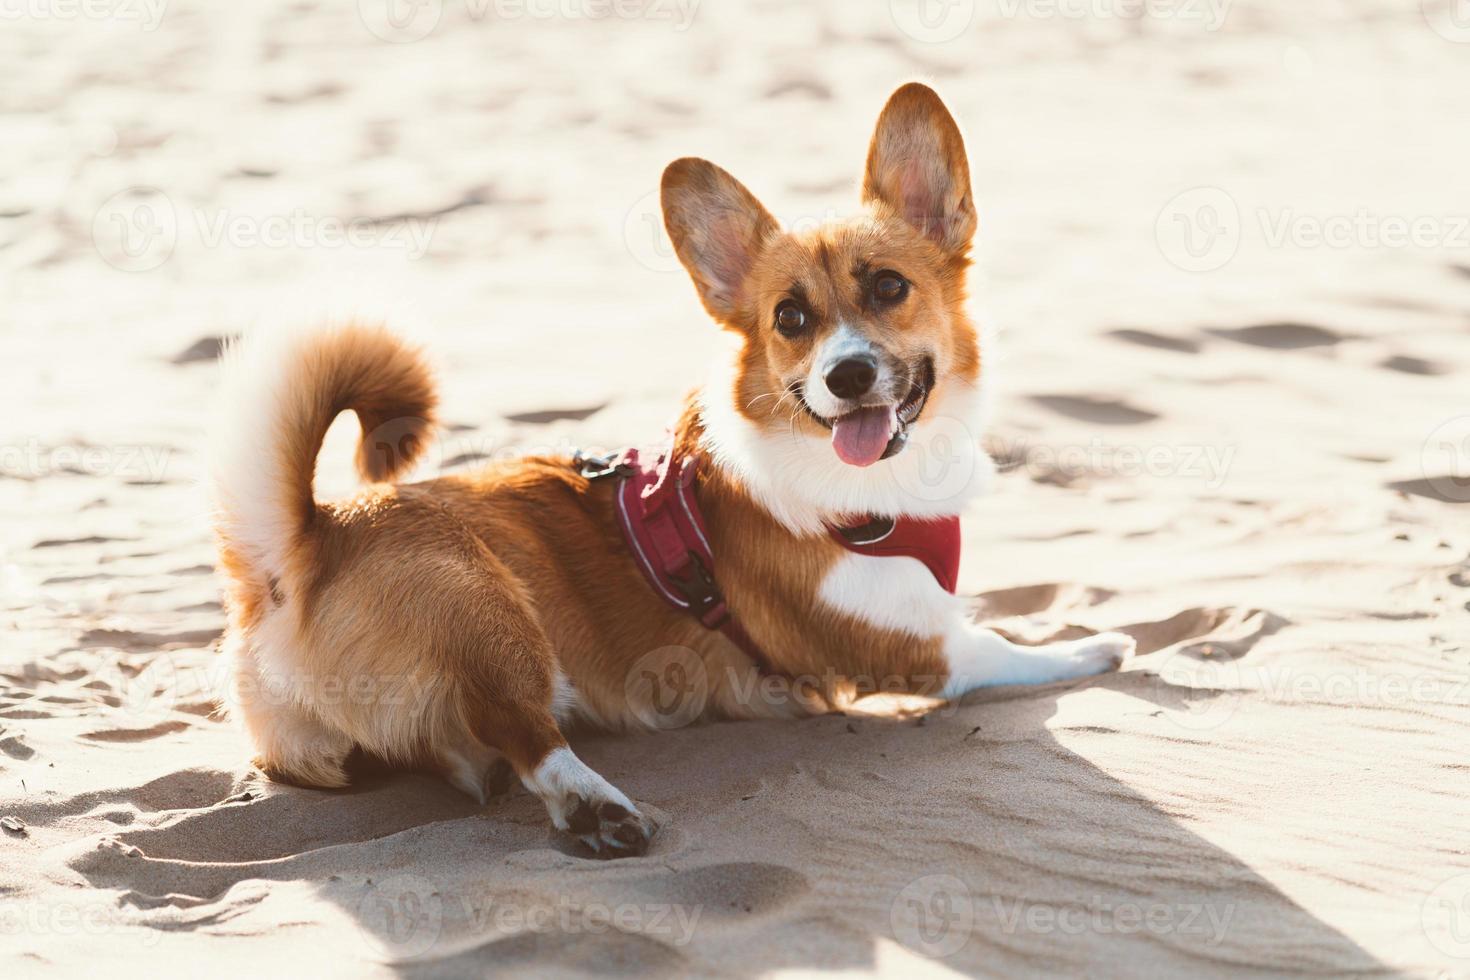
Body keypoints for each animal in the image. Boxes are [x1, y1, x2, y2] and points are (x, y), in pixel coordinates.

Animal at [207, 80, 1128, 852]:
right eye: (790, 317)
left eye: (889, 287)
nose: (846, 376)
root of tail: (307, 541)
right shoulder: (924, 650)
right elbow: (1009, 650)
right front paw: (1095, 647)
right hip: (485, 612)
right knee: (525, 731)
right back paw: (597, 809)